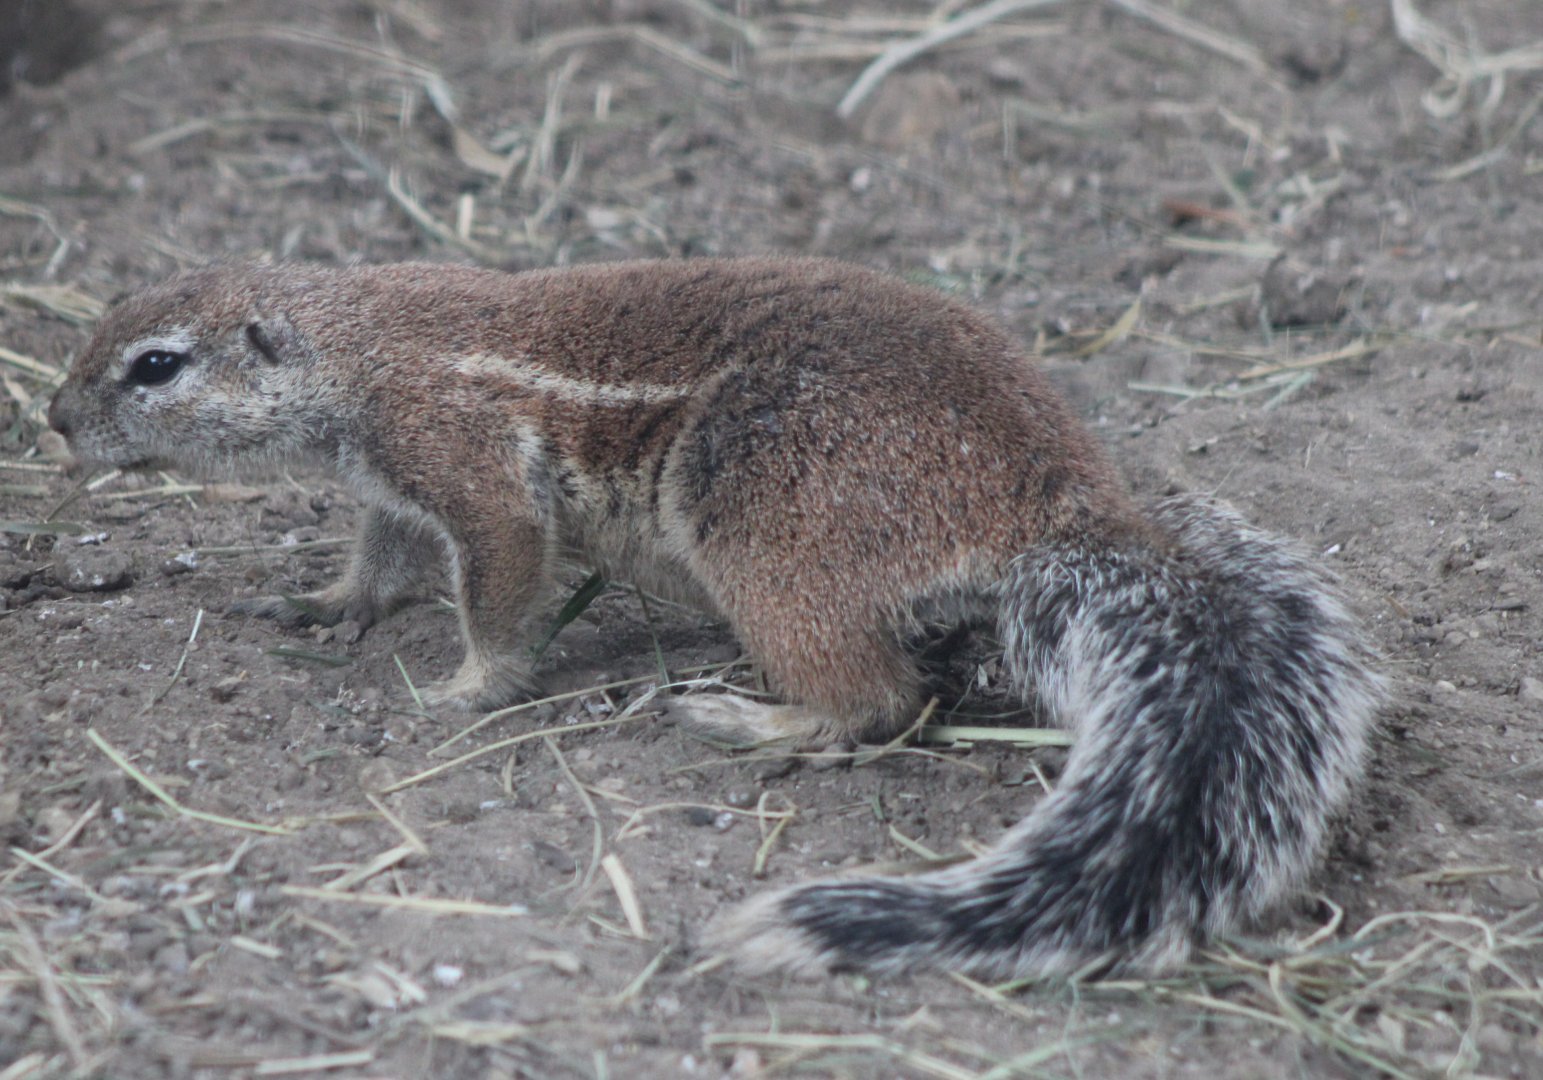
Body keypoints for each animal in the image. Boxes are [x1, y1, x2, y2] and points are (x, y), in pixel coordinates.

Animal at [47, 257, 1383, 979]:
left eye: (156, 365)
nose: (54, 423)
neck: (355, 346)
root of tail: (1053, 502)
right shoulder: (390, 489)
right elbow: (377, 560)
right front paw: (322, 604)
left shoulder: (468, 472)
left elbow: (501, 589)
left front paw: (464, 690)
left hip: (764, 538)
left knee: (876, 699)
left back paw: (747, 721)